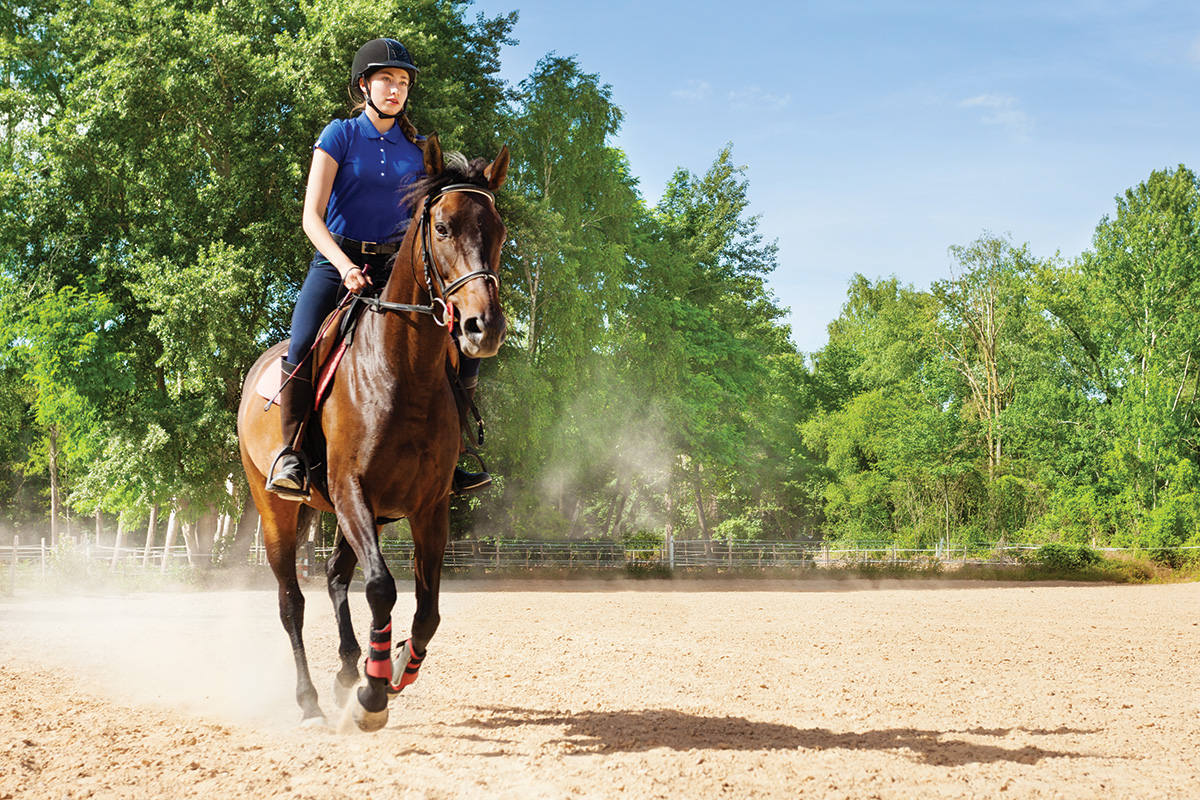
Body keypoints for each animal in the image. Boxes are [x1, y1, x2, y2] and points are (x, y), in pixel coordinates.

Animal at [236, 137, 508, 734]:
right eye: (443, 227)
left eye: (499, 230)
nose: (484, 327)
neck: (402, 372)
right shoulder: (352, 490)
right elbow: (382, 588)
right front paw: (372, 695)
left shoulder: (428, 507)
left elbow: (428, 611)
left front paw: (396, 665)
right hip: (278, 509)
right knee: (292, 600)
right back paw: (312, 701)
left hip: (355, 514)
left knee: (336, 577)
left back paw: (346, 670)